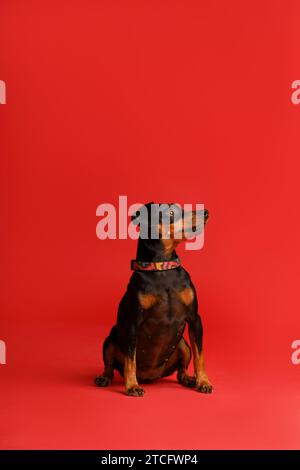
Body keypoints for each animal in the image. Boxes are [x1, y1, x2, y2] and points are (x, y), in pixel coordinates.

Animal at [95, 202, 212, 396]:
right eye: (171, 212)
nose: (206, 212)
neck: (162, 267)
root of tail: (150, 376)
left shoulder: (195, 319)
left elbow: (200, 356)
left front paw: (203, 381)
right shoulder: (131, 324)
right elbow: (130, 360)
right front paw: (132, 386)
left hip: (183, 344)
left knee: (181, 370)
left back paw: (189, 379)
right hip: (110, 339)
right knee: (110, 366)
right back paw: (105, 378)